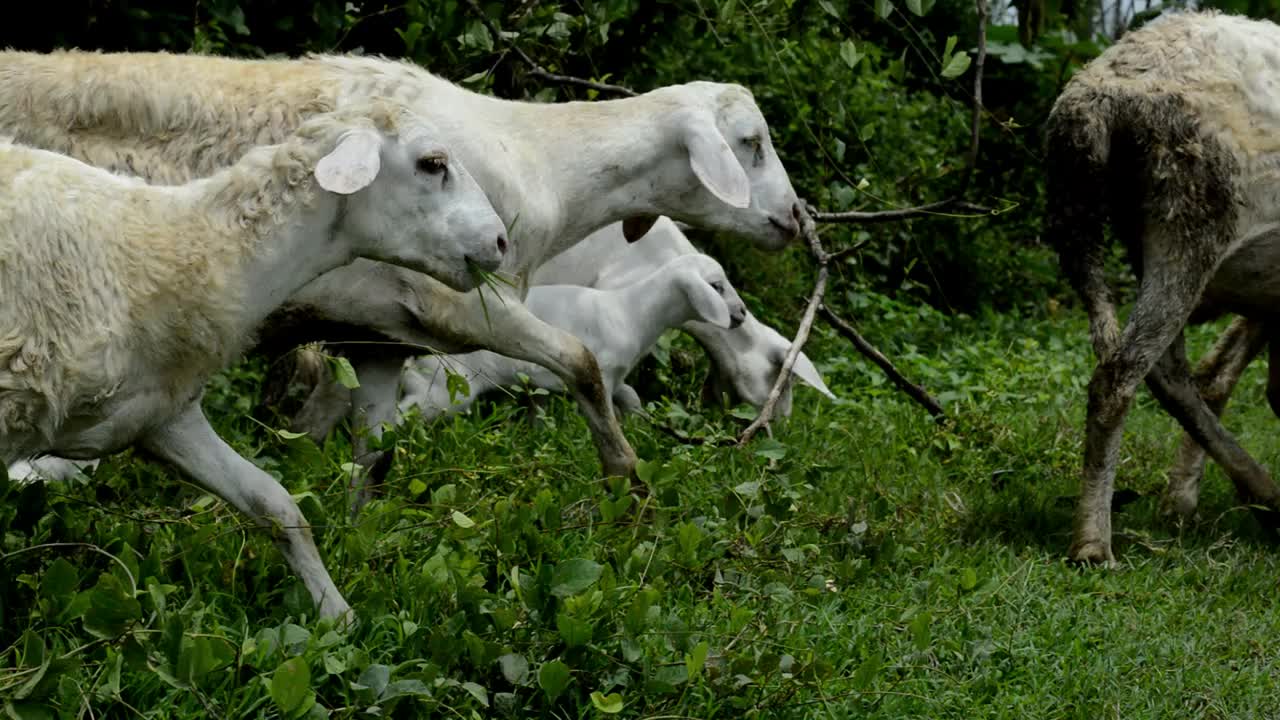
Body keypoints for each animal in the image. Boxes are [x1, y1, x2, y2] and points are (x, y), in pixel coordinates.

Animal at [0, 102, 509, 622]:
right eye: (432, 163)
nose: (500, 241)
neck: (179, 249)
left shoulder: (162, 416)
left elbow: (275, 503)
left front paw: (339, 615)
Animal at [401, 252, 747, 420]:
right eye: (717, 286)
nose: (742, 313)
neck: (632, 312)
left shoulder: (615, 378)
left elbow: (630, 397)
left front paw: (640, 423)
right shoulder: (602, 374)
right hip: (447, 388)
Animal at [1044, 8, 1280, 563]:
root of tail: (1096, 90)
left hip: (1129, 231)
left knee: (1173, 374)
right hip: (1193, 217)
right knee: (1120, 376)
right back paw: (1094, 544)